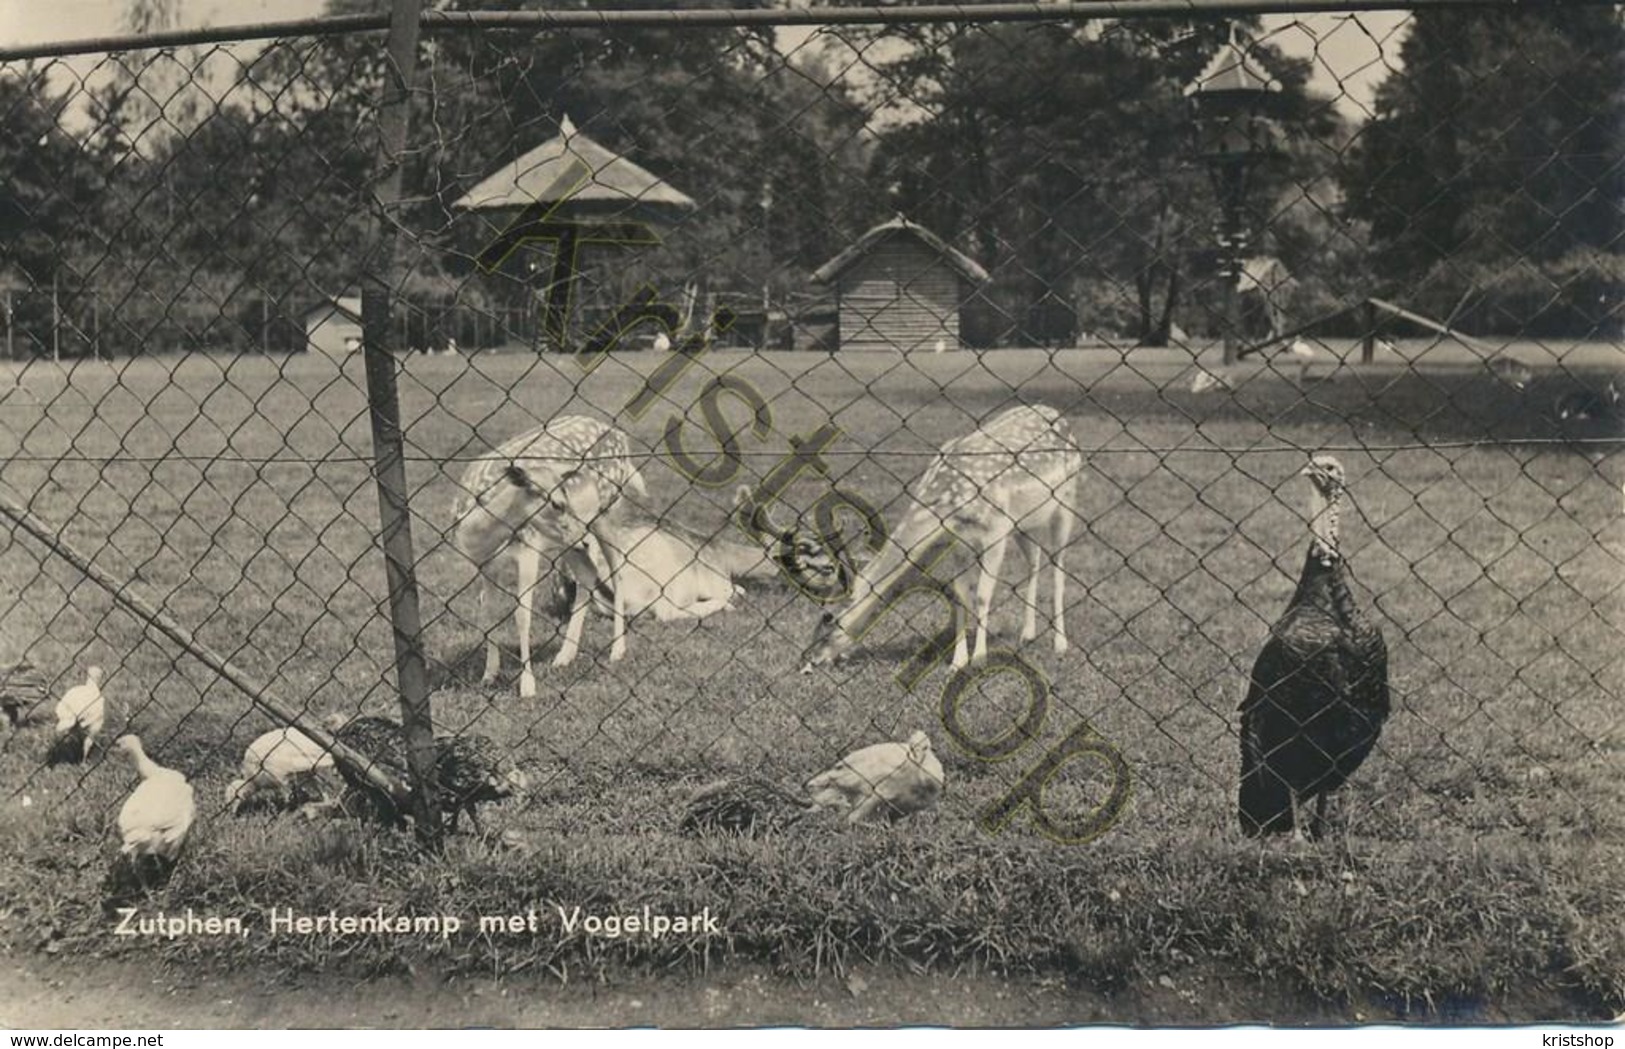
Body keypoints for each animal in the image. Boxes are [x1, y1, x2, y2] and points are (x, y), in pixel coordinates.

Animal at [451, 415, 646, 698]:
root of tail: (620, 435)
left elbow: (522, 615)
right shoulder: (483, 564)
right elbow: (486, 613)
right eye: (556, 503)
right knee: (588, 573)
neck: (479, 536)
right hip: (570, 542)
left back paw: (617, 650)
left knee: (618, 567)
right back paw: (565, 656)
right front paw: (489, 674)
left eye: (566, 498)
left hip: (608, 509)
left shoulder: (528, 548)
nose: (583, 537)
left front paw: (527, 686)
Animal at [796, 402, 1079, 675]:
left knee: (1059, 566)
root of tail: (1061, 416)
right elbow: (960, 595)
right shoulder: (960, 542)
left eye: (828, 616)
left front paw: (979, 660)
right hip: (1025, 522)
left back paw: (1060, 644)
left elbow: (982, 596)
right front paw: (957, 662)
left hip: (1066, 500)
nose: (808, 660)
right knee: (1035, 560)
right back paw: (1027, 634)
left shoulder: (996, 530)